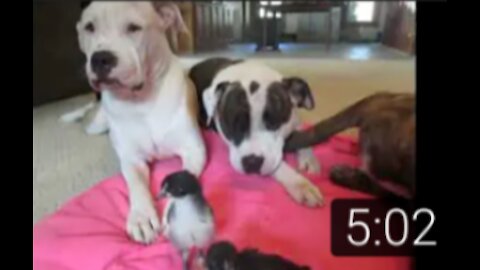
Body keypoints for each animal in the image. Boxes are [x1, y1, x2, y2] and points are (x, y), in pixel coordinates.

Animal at [72, 0, 204, 245]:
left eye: (134, 28)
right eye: (89, 27)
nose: (100, 58)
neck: (142, 101)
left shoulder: (194, 150)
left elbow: (183, 178)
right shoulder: (132, 159)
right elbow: (137, 185)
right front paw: (141, 217)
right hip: (96, 125)